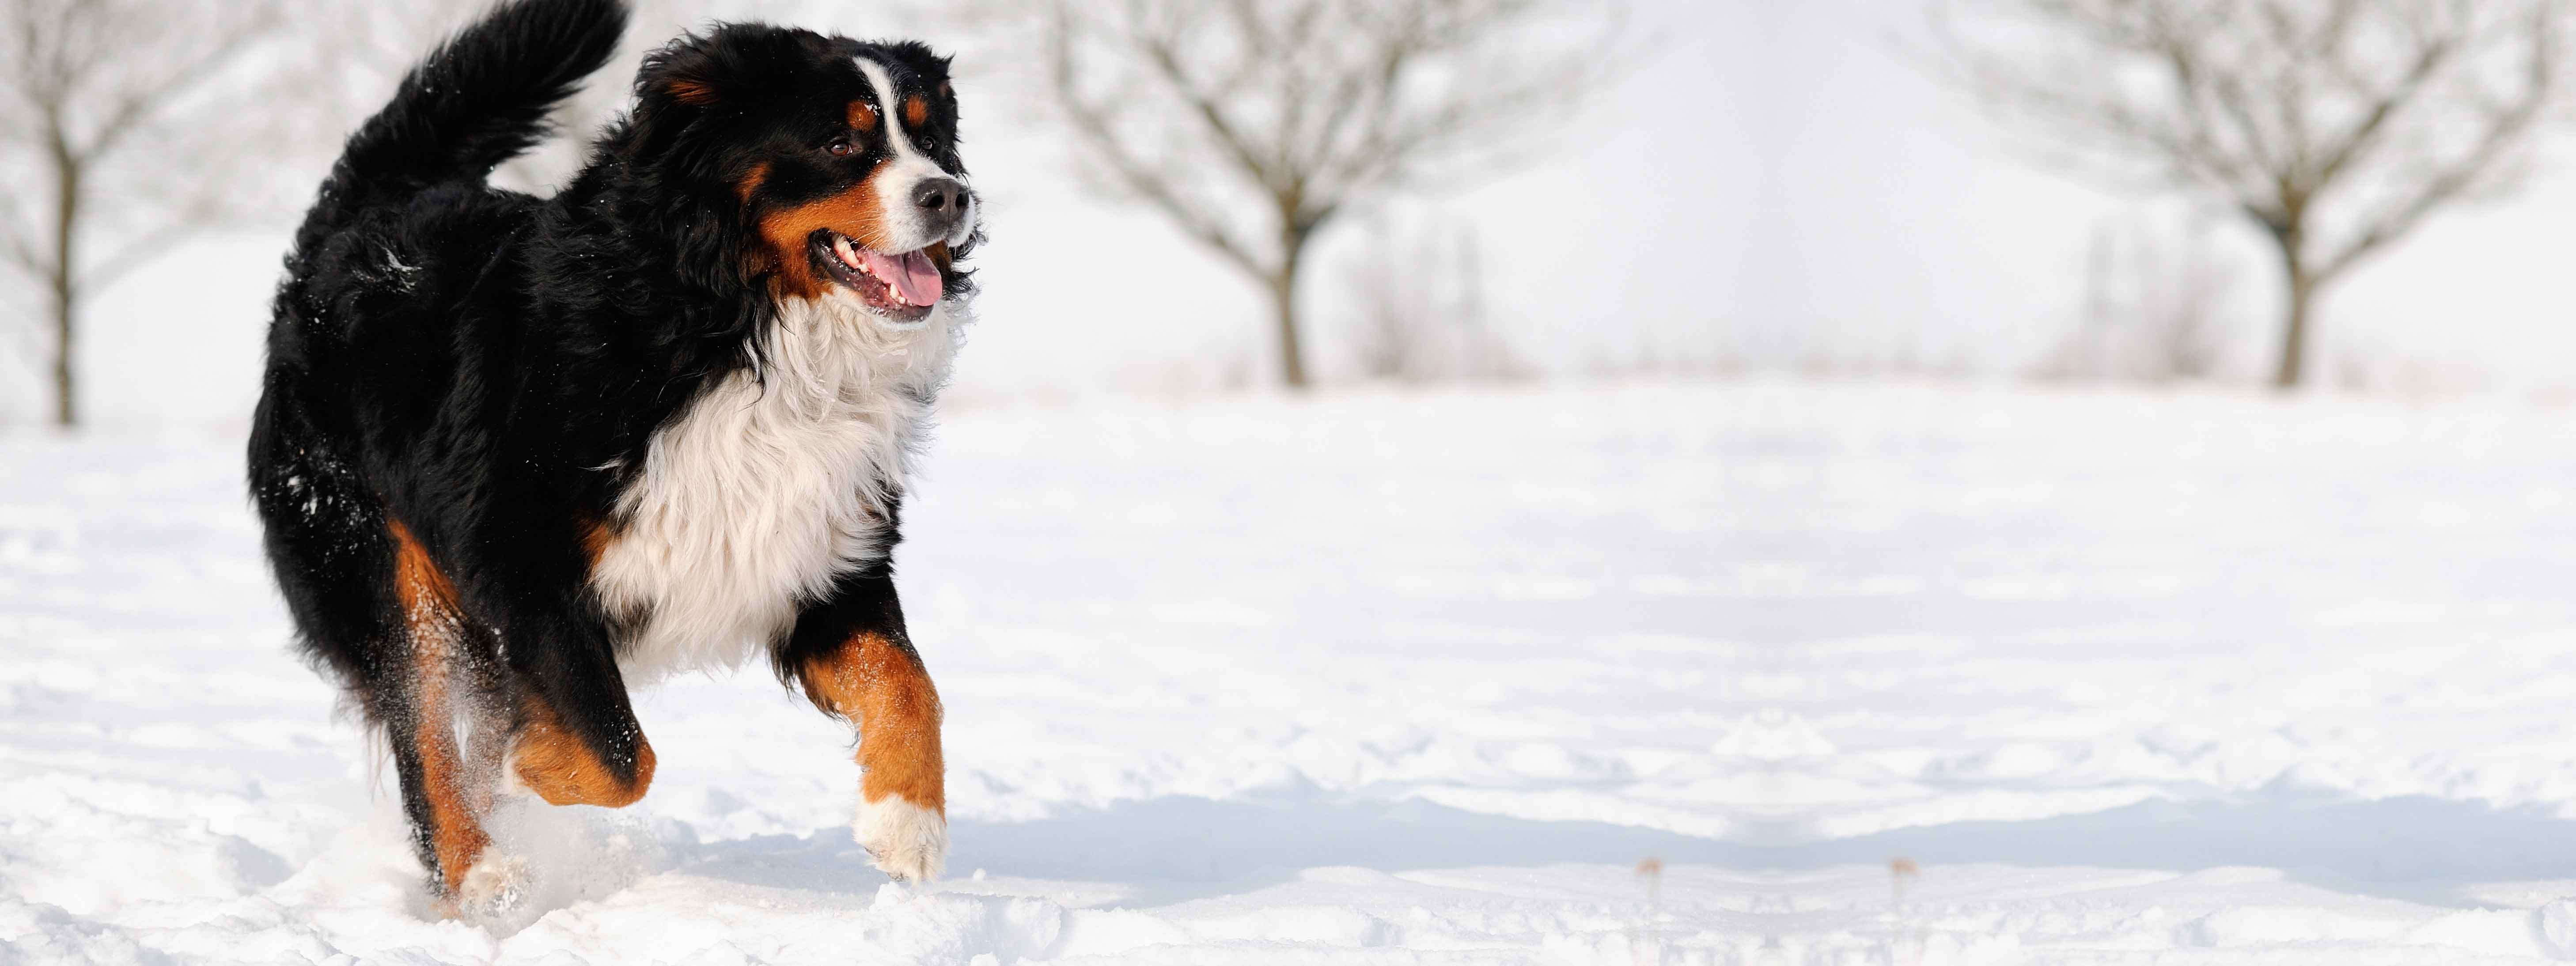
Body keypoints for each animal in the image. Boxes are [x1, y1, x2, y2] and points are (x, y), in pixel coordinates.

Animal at [248, 0, 974, 917]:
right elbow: (619, 753)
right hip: (373, 559)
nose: (950, 194)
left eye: (931, 137)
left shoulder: (827, 554)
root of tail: (347, 233)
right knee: (426, 732)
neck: (730, 330)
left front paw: (907, 824)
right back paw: (481, 874)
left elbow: (909, 684)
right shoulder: (525, 563)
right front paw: (527, 771)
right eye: (842, 142)